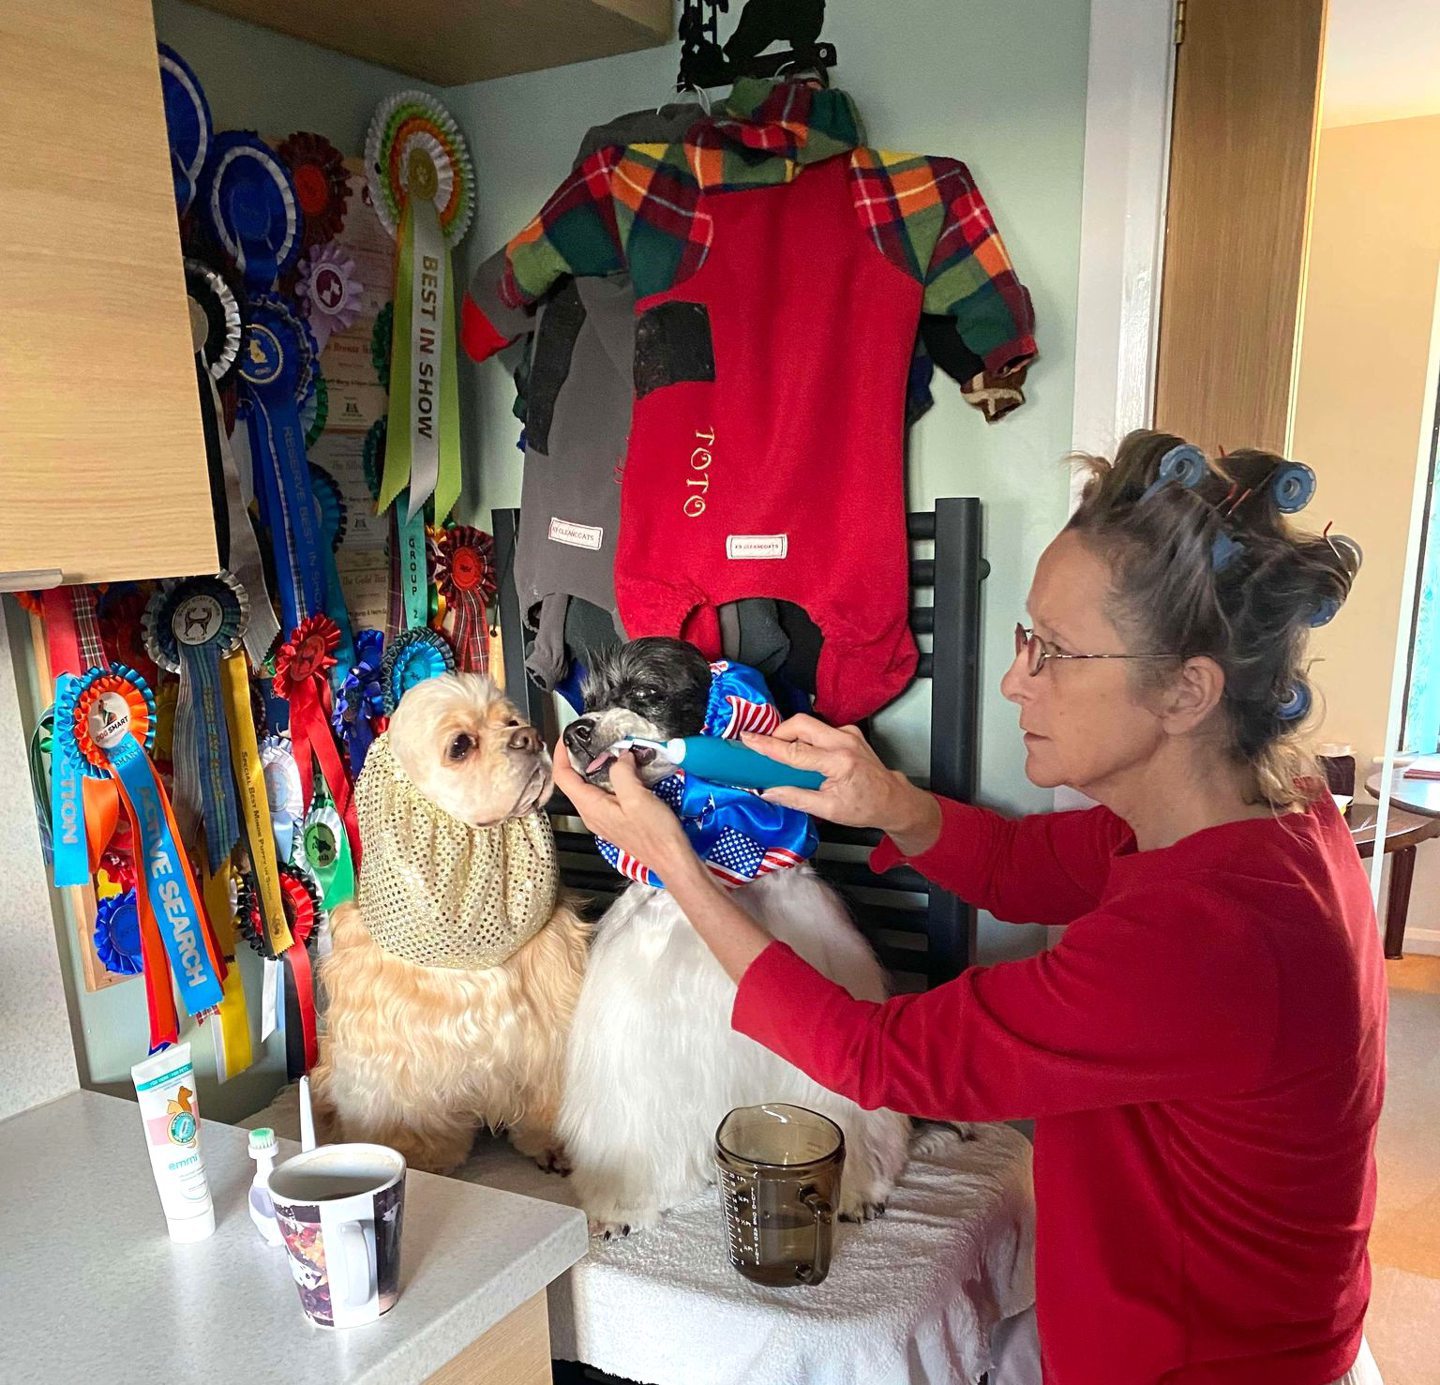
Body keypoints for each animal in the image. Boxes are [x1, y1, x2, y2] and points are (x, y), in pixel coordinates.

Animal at [555, 636, 904, 1232]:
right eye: (591, 700)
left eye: (648, 691)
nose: (575, 731)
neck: (720, 873)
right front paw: (621, 1205)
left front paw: (856, 1189)